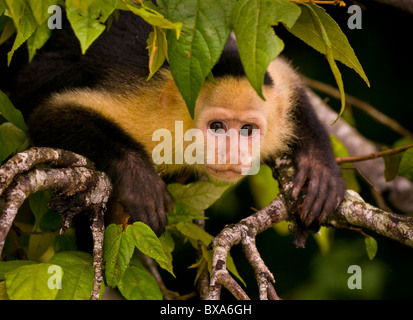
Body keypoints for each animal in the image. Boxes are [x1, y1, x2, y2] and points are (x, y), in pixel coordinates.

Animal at [1, 10, 344, 235]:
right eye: (217, 127)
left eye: (248, 130)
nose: (232, 153)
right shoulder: (151, 119)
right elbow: (47, 115)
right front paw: (137, 174)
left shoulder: (266, 74)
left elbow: (289, 79)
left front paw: (319, 167)